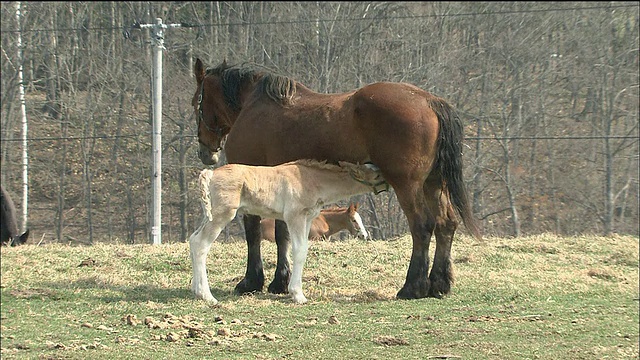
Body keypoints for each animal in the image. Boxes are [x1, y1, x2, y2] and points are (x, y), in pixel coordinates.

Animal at [188, 160, 382, 304]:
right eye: (376, 174)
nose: (364, 235)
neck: (311, 180)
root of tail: (210, 174)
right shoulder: (294, 216)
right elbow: (299, 250)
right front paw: (298, 295)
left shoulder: (307, 218)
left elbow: (303, 250)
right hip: (222, 215)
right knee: (201, 244)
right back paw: (207, 296)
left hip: (208, 215)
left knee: (193, 240)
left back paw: (196, 290)